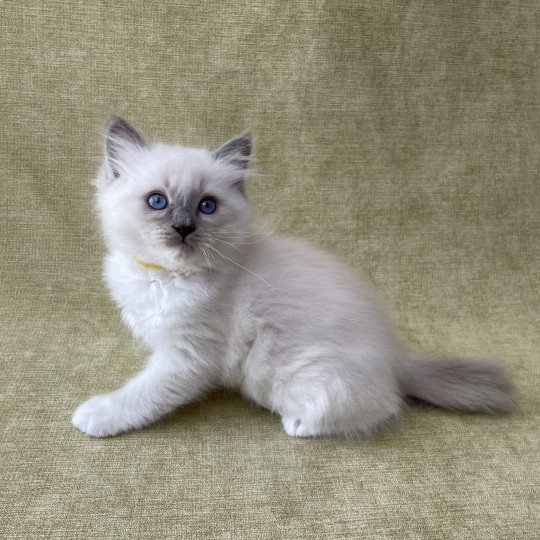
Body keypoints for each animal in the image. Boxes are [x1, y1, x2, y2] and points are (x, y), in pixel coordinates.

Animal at [71, 118, 516, 438]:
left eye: (206, 206)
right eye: (157, 202)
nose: (183, 228)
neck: (167, 277)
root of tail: (396, 356)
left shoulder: (187, 358)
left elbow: (142, 394)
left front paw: (98, 414)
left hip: (290, 375)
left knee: (383, 407)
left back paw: (298, 424)